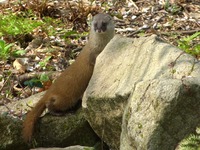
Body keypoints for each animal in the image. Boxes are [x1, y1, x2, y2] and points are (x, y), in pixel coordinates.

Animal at [22, 12, 114, 142]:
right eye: (95, 24)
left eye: (104, 23)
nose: (99, 29)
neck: (102, 45)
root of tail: (50, 90)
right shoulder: (92, 55)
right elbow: (93, 60)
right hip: (65, 98)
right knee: (50, 104)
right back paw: (61, 113)